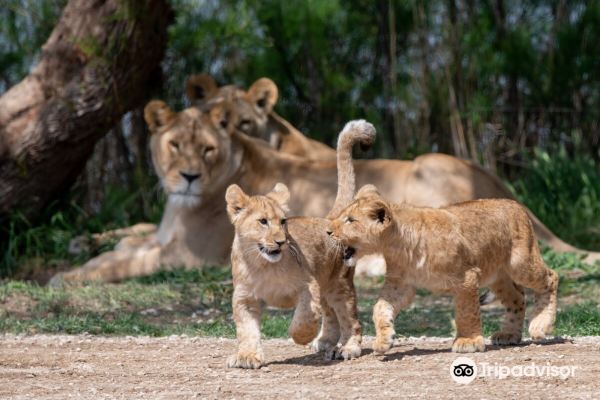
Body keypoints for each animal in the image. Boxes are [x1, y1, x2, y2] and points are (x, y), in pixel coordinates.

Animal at [50, 96, 599, 285]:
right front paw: (79, 253)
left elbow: (125, 262)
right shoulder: (160, 235)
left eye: (206, 149)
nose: (187, 177)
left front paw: (65, 276)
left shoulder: (186, 256)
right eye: (174, 144)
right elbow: (123, 242)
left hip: (429, 173)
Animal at [225, 121, 372, 368]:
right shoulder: (245, 297)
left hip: (339, 285)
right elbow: (246, 330)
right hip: (326, 286)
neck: (262, 264)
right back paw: (325, 342)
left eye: (283, 222)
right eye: (263, 221)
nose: (281, 241)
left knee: (350, 320)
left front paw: (301, 336)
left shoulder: (308, 285)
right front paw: (248, 356)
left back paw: (347, 348)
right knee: (330, 315)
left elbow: (304, 317)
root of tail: (329, 219)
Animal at [328, 185, 559, 353]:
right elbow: (380, 307)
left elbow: (466, 311)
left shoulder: (466, 277)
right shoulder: (400, 285)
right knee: (517, 298)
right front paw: (385, 339)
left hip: (520, 263)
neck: (396, 245)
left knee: (551, 277)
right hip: (497, 276)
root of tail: (517, 205)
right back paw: (509, 334)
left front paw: (468, 341)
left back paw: (540, 325)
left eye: (350, 220)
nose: (328, 231)